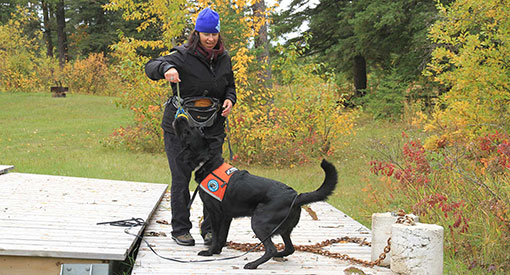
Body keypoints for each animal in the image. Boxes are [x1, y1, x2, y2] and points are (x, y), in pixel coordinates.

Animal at [173, 117, 336, 270]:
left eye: (190, 130)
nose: (180, 117)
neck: (206, 160)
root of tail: (295, 196)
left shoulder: (215, 214)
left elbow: (216, 236)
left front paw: (210, 252)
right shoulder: (226, 217)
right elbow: (222, 238)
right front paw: (217, 251)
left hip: (259, 223)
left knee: (271, 249)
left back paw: (253, 264)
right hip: (283, 229)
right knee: (289, 248)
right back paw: (277, 255)